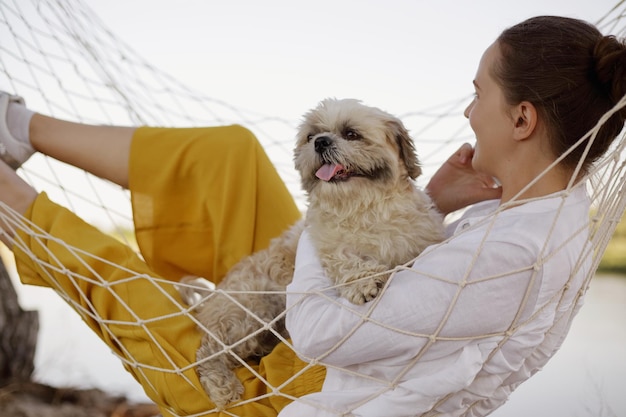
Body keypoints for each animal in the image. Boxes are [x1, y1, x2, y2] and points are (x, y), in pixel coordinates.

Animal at [182, 98, 444, 406]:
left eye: (351, 133)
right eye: (310, 136)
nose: (320, 142)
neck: (364, 209)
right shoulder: (326, 243)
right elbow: (344, 259)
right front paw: (364, 280)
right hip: (250, 312)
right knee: (209, 351)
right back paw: (221, 384)